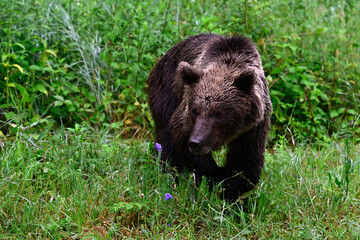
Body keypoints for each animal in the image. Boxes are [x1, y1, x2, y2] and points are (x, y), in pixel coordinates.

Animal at [148, 33, 272, 202]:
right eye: (195, 110)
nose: (196, 142)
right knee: (166, 144)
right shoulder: (186, 115)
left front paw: (231, 196)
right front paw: (217, 175)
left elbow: (245, 163)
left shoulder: (254, 127)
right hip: (167, 91)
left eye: (218, 113)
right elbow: (180, 135)